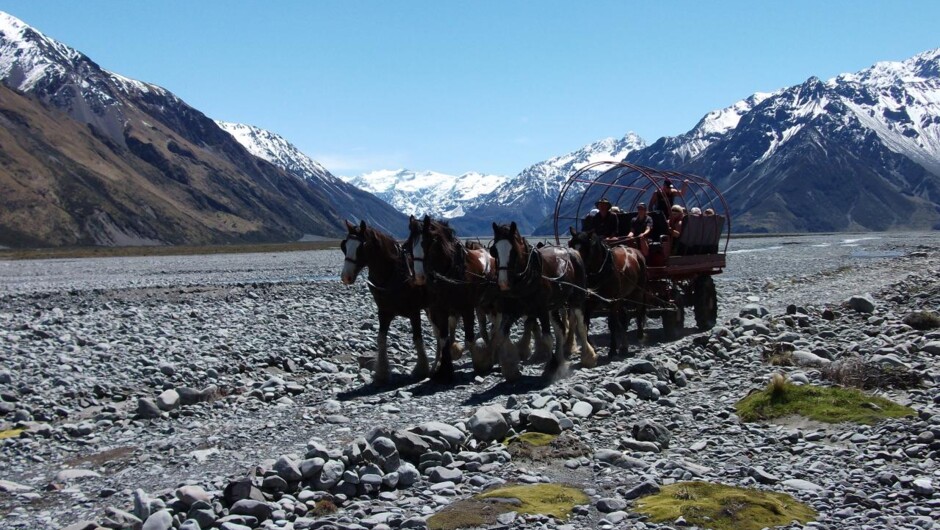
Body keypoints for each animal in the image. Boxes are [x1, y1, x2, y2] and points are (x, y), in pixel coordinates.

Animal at [492, 221, 596, 378]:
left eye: (514, 251)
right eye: (494, 250)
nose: (503, 283)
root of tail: (572, 251)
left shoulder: (541, 309)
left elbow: (547, 338)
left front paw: (551, 367)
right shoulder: (512, 310)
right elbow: (500, 335)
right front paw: (510, 368)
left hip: (576, 299)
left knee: (581, 326)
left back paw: (588, 357)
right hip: (554, 306)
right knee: (560, 329)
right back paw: (561, 357)